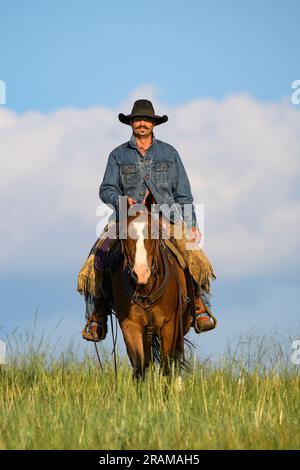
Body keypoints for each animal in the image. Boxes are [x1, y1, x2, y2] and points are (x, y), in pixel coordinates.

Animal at [110, 193, 195, 380]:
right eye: (124, 234)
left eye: (154, 232)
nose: (141, 274)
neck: (147, 290)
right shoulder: (131, 325)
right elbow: (140, 367)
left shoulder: (169, 325)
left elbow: (167, 365)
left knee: (176, 357)